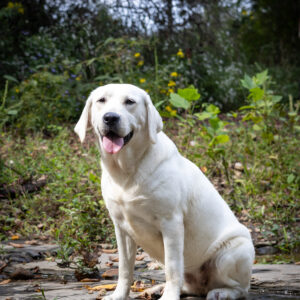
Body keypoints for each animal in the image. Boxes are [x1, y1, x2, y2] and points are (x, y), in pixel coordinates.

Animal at [74, 84, 254, 300]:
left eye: (130, 102)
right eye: (101, 100)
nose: (110, 117)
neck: (127, 170)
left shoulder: (171, 223)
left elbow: (173, 266)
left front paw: (169, 296)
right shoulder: (121, 227)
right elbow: (125, 268)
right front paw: (119, 295)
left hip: (235, 250)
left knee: (241, 288)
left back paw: (221, 292)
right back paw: (157, 288)